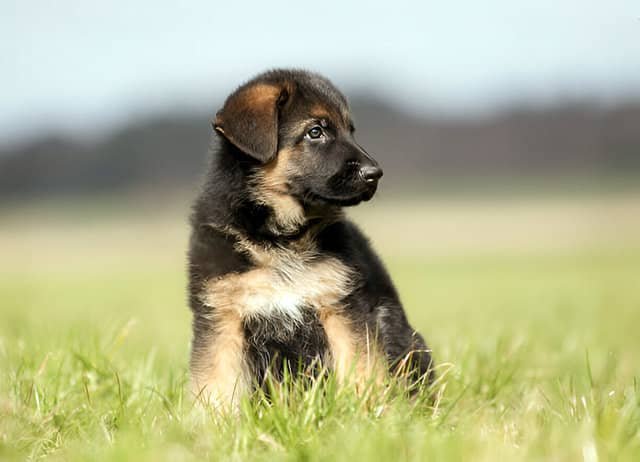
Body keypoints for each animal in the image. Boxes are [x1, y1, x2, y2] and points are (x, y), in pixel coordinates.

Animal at [188, 68, 432, 408]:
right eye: (315, 132)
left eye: (350, 130)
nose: (375, 173)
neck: (280, 239)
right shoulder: (222, 317)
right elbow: (215, 386)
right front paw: (212, 420)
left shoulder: (341, 307)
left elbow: (360, 371)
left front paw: (363, 415)